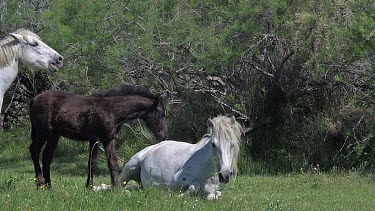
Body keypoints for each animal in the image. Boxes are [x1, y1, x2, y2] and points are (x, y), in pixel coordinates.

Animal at [95, 115, 244, 199]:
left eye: (232, 144)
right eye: (213, 144)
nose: (225, 175)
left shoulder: (216, 190)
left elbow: (213, 195)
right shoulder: (175, 182)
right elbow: (194, 186)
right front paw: (180, 195)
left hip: (140, 183)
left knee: (132, 187)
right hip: (130, 167)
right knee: (117, 186)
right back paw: (99, 188)